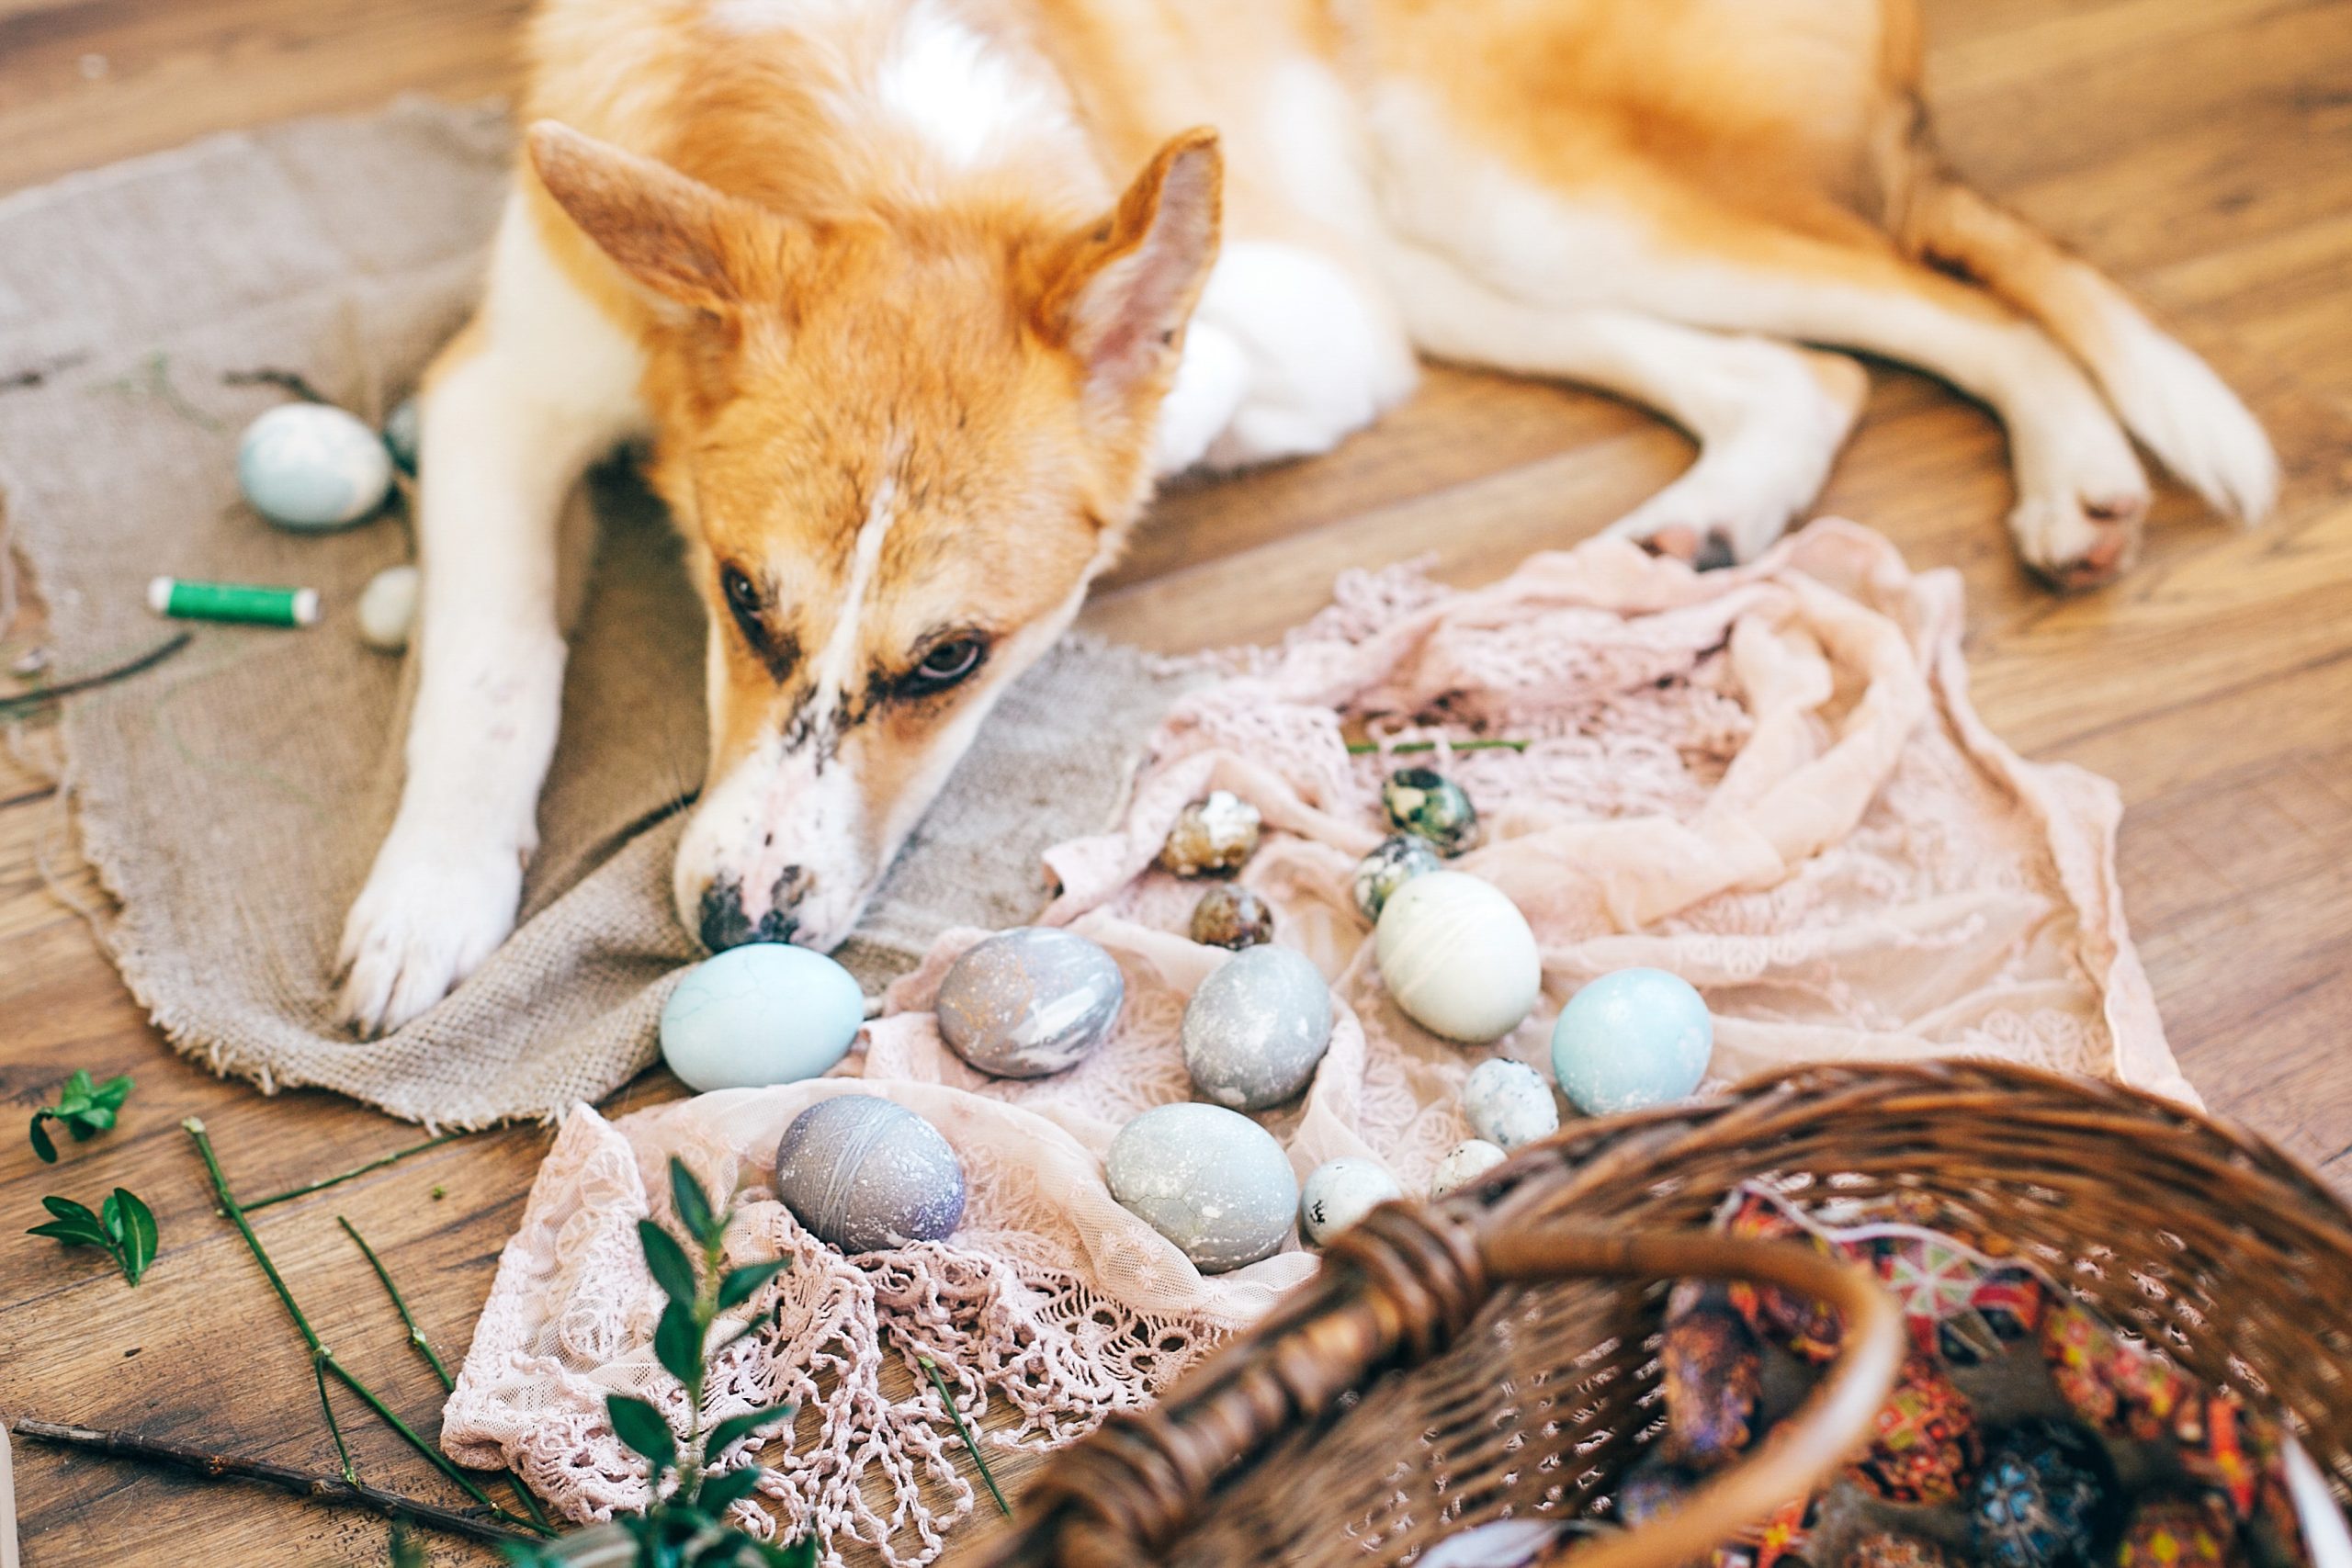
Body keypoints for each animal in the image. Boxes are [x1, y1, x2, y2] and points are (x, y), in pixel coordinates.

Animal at [336, 0, 2277, 1034]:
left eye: (951, 660)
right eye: (742, 601)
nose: (741, 923)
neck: (865, 109)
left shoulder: (1304, 321)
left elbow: (1172, 398)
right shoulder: (505, 380)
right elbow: (492, 663)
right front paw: (429, 897)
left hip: (1503, 188)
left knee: (1946, 298)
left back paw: (2081, 472)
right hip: (1462, 237)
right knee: (1794, 372)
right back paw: (1706, 528)